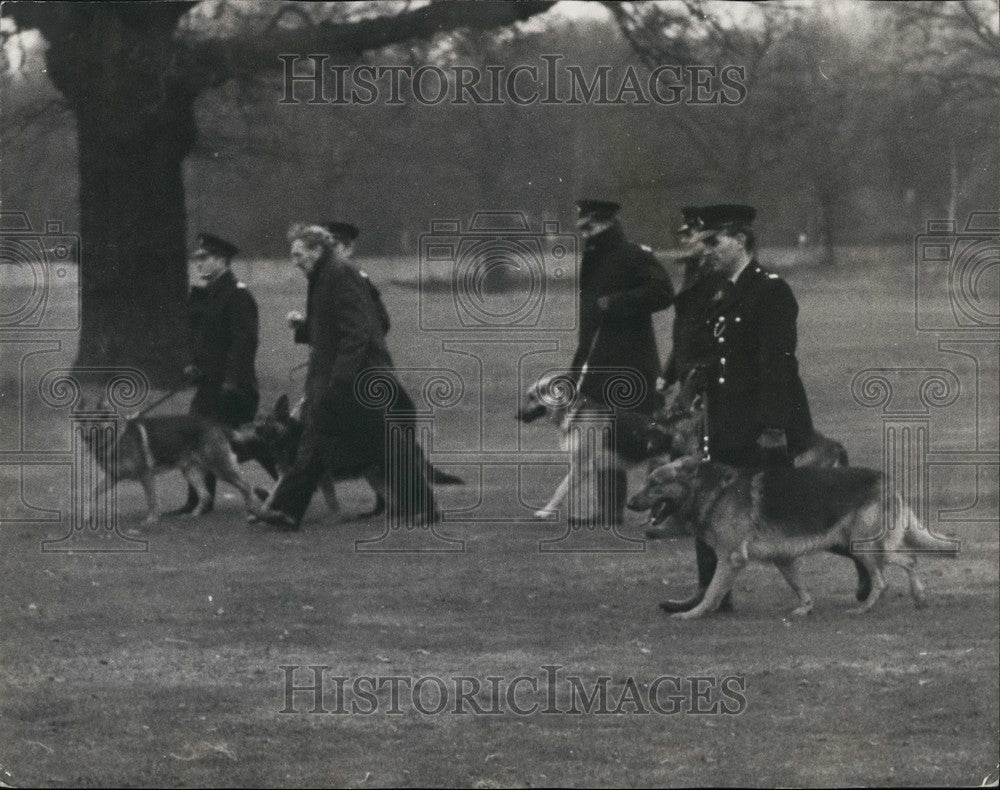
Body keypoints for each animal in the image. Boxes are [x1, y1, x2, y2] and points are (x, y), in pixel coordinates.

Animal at [79, 402, 278, 524]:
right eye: (84, 422)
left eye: (96, 422)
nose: (86, 437)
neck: (116, 438)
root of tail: (214, 423)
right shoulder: (112, 477)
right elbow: (90, 493)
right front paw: (86, 516)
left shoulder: (146, 475)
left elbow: (152, 500)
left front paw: (151, 520)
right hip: (190, 472)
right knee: (205, 494)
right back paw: (193, 515)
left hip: (221, 468)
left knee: (246, 486)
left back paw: (251, 511)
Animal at [624, 458, 960, 620]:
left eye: (654, 484)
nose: (628, 503)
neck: (712, 491)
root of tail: (887, 479)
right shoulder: (783, 559)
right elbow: (799, 586)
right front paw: (805, 608)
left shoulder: (731, 559)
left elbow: (712, 592)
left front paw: (693, 614)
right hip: (856, 544)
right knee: (905, 562)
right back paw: (916, 598)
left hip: (863, 545)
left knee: (892, 572)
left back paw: (870, 607)